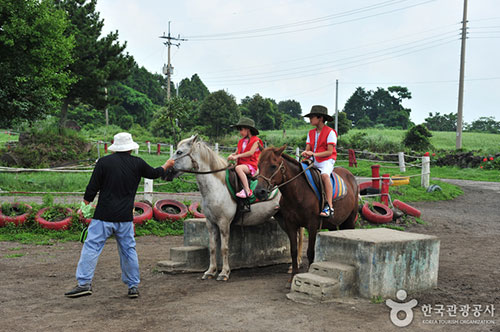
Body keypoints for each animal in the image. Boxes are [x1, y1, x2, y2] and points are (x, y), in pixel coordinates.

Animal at [165, 136, 280, 282]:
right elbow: (213, 247)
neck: (216, 188)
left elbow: (224, 248)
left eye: (179, 152)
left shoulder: (224, 223)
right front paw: (210, 271)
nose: (166, 171)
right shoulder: (210, 223)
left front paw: (224, 272)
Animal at [254, 145, 360, 282]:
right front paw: (293, 276)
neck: (298, 192)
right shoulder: (291, 224)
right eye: (259, 165)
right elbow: (293, 251)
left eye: (273, 166)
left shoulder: (312, 225)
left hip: (349, 221)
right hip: (333, 224)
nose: (259, 191)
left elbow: (310, 251)